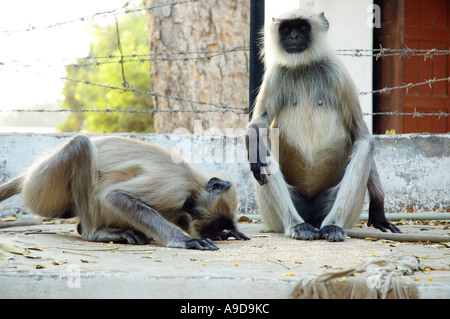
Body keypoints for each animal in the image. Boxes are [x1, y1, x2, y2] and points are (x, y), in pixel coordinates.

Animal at [0, 135, 250, 250]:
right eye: (193, 210)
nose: (211, 232)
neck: (193, 181)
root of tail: (30, 174)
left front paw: (222, 234)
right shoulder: (175, 187)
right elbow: (115, 196)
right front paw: (184, 240)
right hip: (42, 185)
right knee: (81, 144)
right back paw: (93, 233)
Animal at [244, 8, 400, 242]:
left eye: (302, 27)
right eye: (286, 29)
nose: (293, 37)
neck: (304, 66)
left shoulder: (339, 74)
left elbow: (361, 135)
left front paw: (378, 208)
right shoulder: (275, 74)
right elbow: (259, 124)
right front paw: (253, 140)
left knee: (364, 146)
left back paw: (332, 225)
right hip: (272, 216)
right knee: (264, 146)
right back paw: (297, 224)